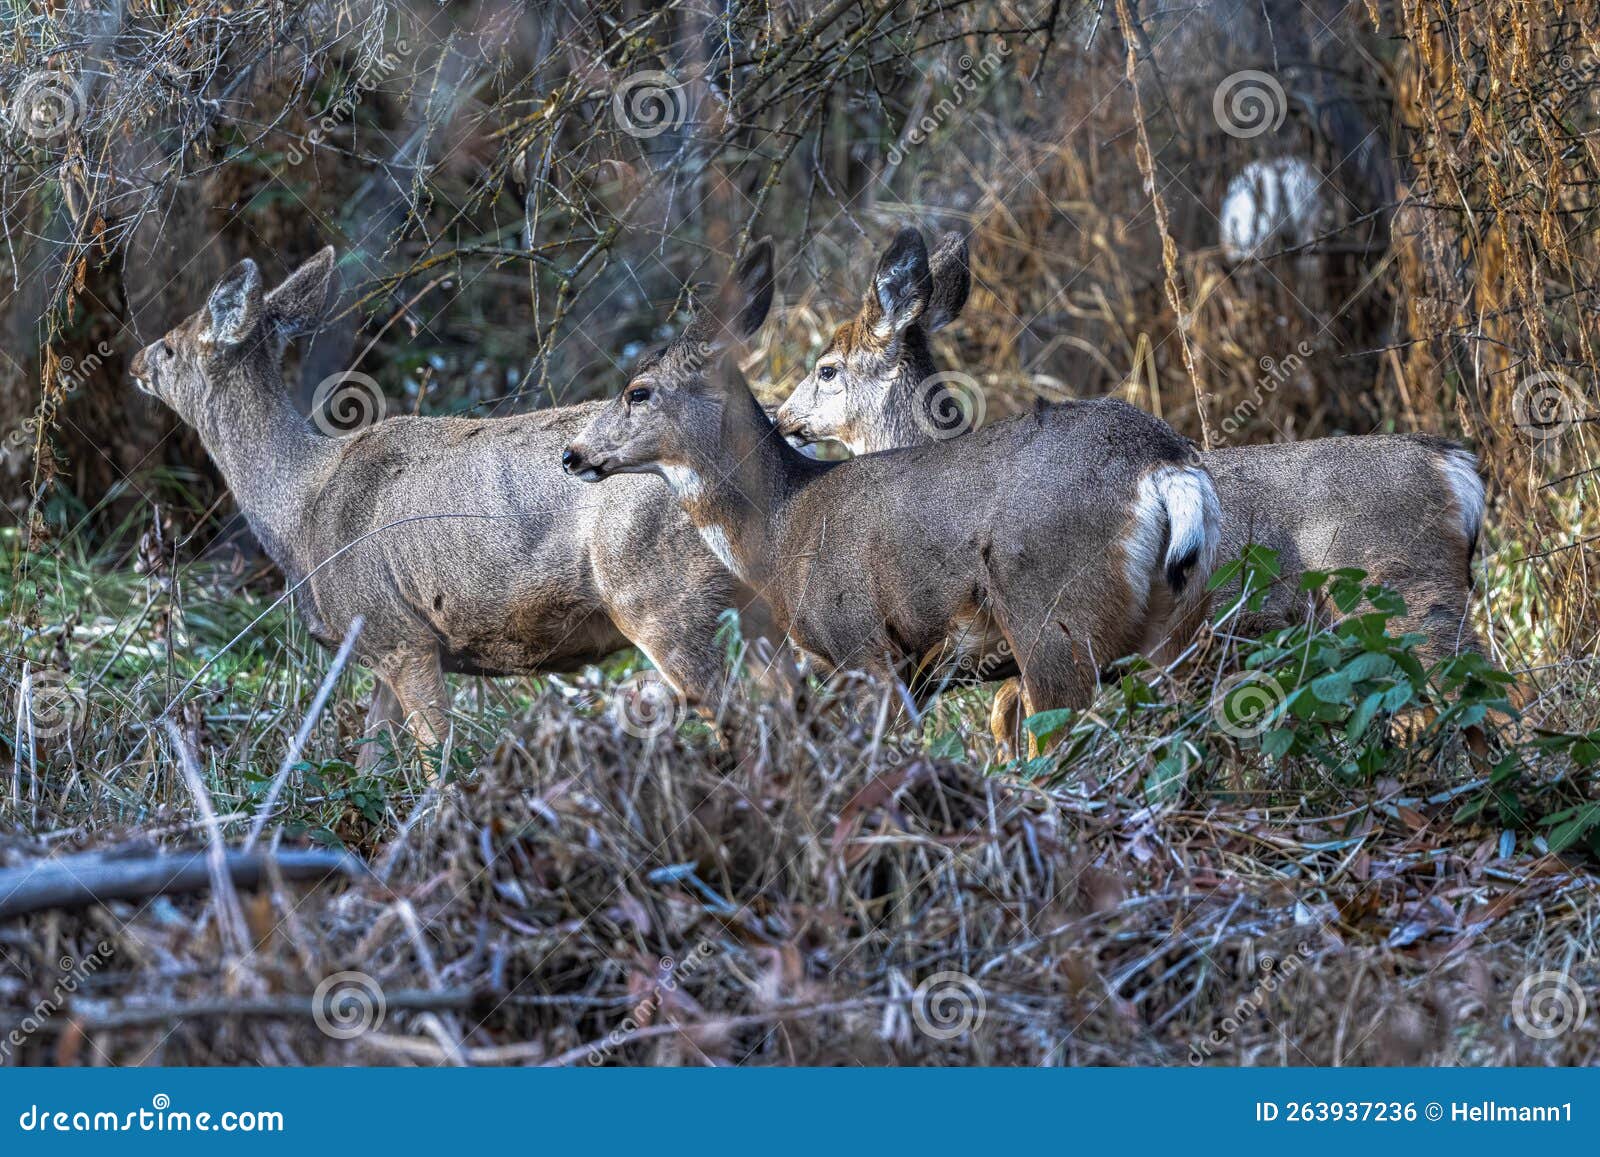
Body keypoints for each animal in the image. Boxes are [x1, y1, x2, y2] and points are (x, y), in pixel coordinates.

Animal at [128, 247, 787, 766]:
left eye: (170, 346)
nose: (134, 363)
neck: (301, 509)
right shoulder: (384, 645)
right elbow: (371, 760)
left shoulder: (398, 632)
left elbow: (433, 763)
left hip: (660, 597)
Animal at [561, 238, 1223, 737]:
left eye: (638, 391)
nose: (572, 455)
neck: (780, 524)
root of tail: (1163, 465)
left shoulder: (861, 642)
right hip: (1181, 620)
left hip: (1054, 619)